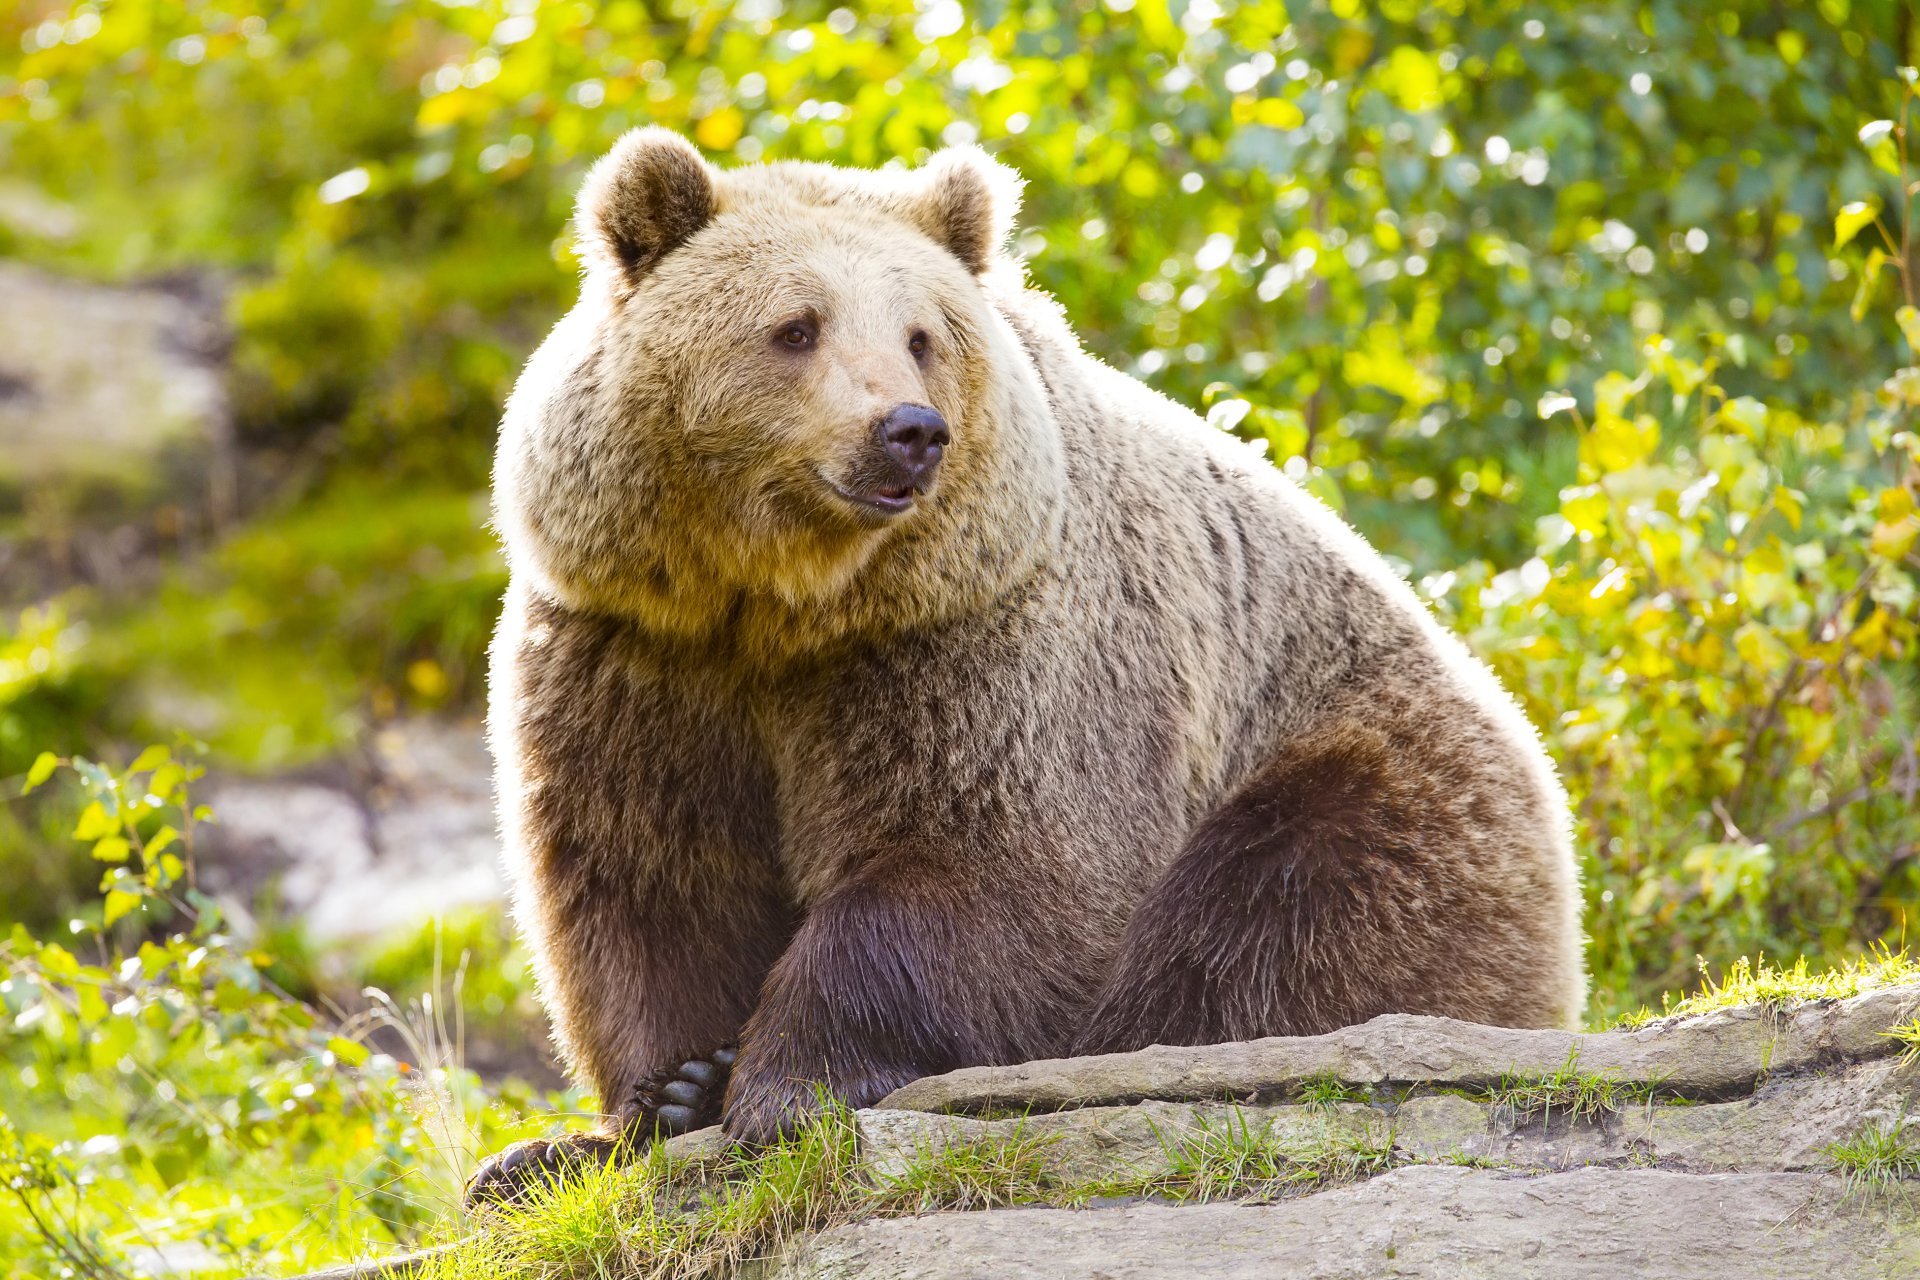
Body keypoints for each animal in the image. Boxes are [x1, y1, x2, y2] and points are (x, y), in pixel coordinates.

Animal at [466, 127, 1586, 1202]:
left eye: (920, 335)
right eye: (796, 326)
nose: (908, 430)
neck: (787, 603)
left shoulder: (982, 638)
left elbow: (985, 861)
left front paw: (786, 1084)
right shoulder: (636, 648)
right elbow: (647, 873)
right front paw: (659, 1096)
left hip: (1364, 778)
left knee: (1280, 924)